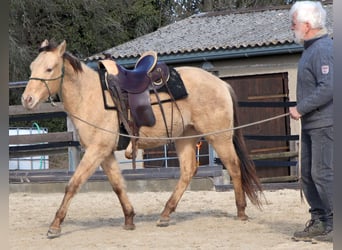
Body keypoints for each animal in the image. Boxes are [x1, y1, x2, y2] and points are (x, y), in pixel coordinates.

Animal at [22, 39, 262, 238]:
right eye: (32, 67)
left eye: (49, 68)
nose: (27, 99)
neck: (90, 96)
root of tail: (220, 83)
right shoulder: (105, 153)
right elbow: (118, 185)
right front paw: (129, 218)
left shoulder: (96, 150)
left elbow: (73, 184)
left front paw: (55, 226)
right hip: (185, 137)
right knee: (188, 171)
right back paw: (165, 214)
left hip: (219, 137)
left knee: (233, 166)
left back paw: (241, 211)